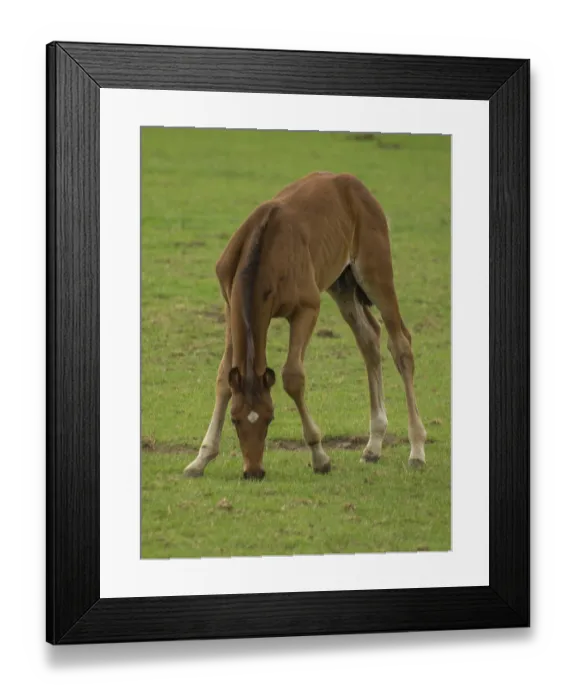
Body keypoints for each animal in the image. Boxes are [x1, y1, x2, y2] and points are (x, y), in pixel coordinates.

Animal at [183, 171, 427, 480]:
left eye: (270, 417)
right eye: (235, 420)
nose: (253, 472)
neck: (264, 248)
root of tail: (355, 184)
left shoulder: (307, 309)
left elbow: (293, 376)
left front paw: (320, 456)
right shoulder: (229, 305)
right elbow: (224, 376)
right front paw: (200, 459)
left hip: (376, 273)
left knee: (400, 345)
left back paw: (417, 450)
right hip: (343, 285)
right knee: (369, 339)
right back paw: (373, 447)